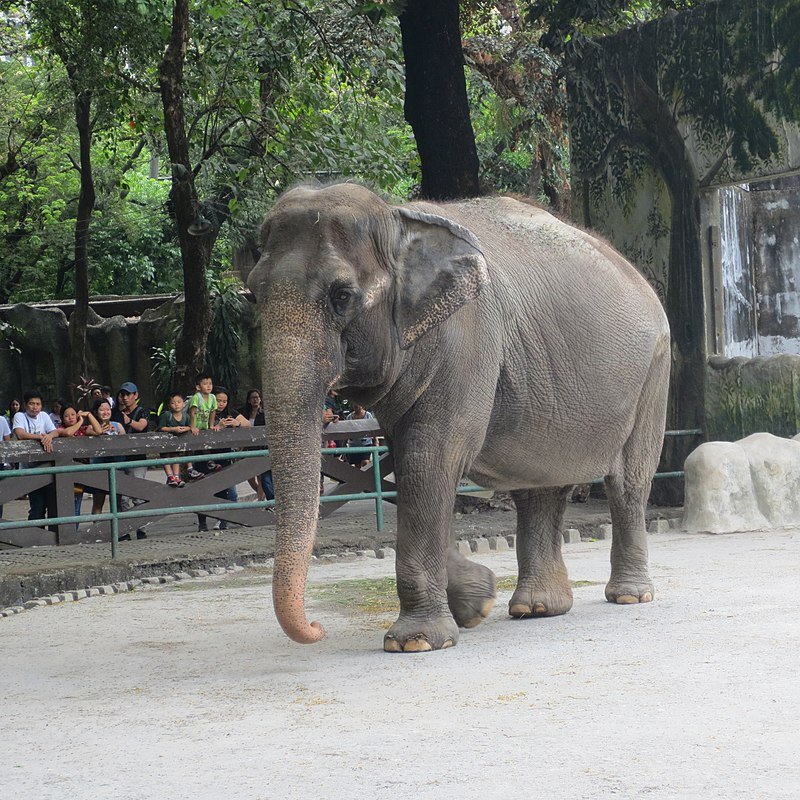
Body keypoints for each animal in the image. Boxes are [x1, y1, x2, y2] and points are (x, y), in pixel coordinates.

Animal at [246, 181, 670, 653]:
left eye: (342, 296)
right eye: (252, 294)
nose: (318, 628)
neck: (397, 219)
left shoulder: (468, 341)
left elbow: (429, 459)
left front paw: (416, 642)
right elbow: (415, 464)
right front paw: (476, 603)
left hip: (654, 371)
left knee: (629, 480)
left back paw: (629, 597)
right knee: (539, 484)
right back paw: (537, 608)